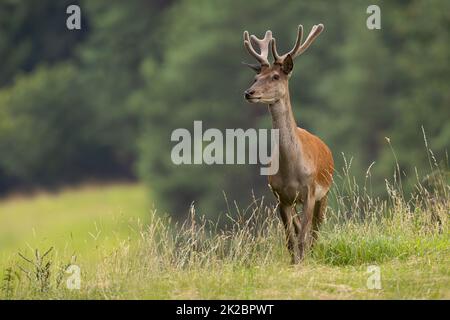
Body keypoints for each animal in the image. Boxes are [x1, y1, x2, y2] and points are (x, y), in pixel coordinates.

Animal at [243, 25, 334, 264]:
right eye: (256, 76)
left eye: (275, 76)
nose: (249, 92)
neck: (291, 169)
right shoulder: (280, 197)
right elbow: (290, 240)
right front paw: (295, 263)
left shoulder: (310, 192)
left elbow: (303, 237)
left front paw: (304, 262)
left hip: (325, 192)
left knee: (315, 230)